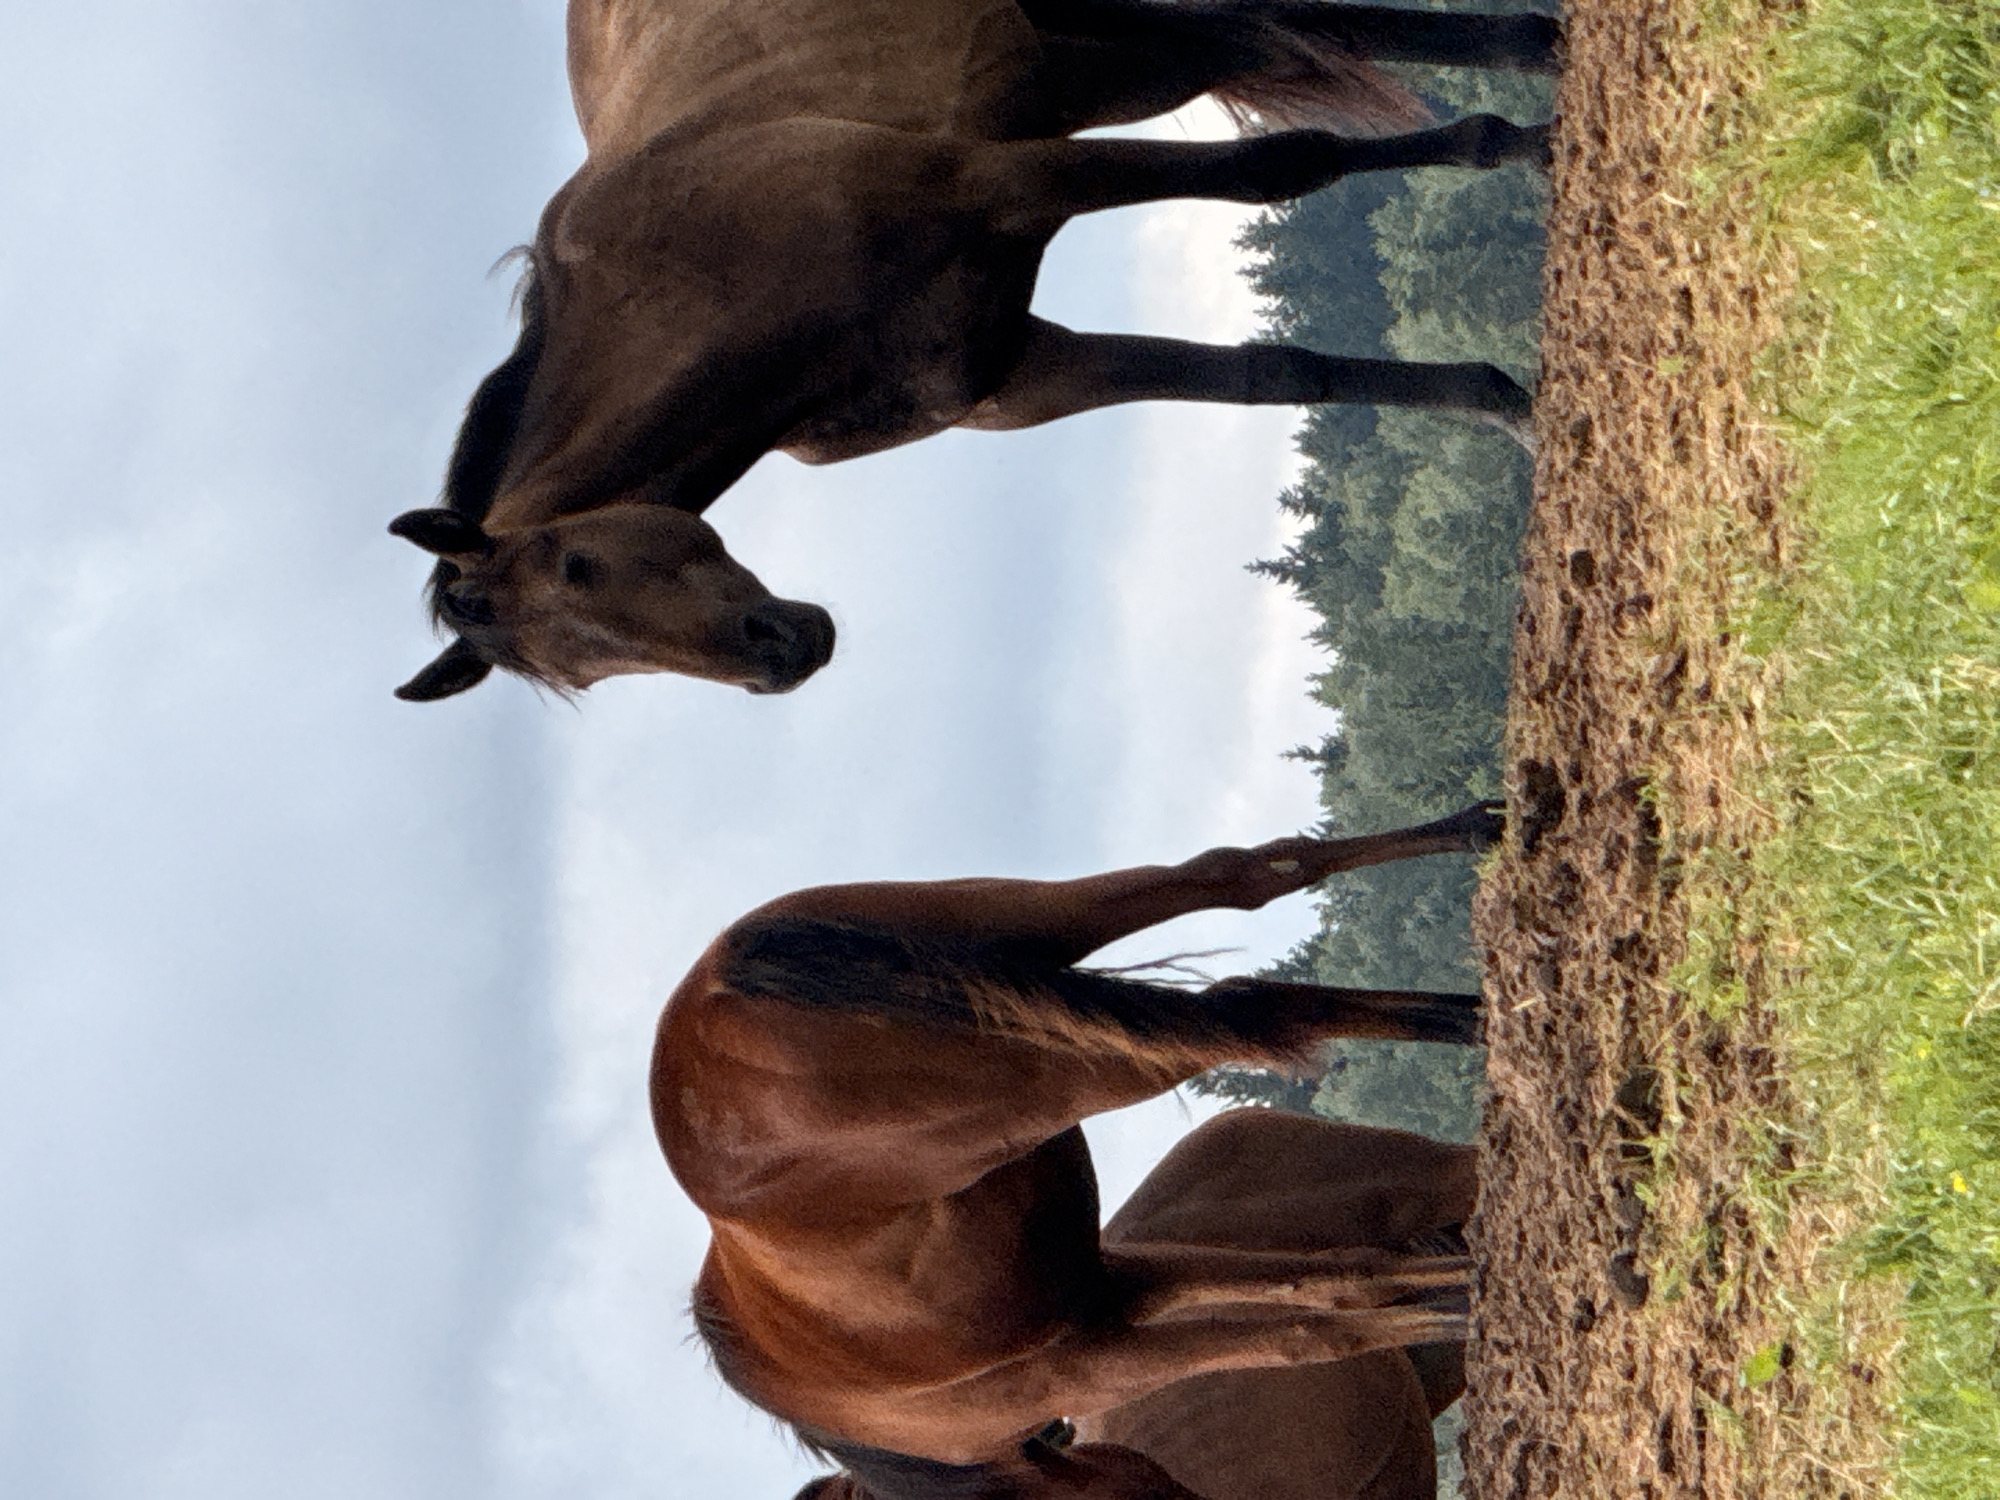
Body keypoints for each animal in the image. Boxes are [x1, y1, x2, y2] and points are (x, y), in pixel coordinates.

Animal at [388, 0, 1561, 701]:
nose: (781, 655)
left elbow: (1284, 165)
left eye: (578, 564)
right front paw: (1510, 406)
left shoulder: (1015, 179)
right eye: (582, 676)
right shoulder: (1019, 375)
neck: (709, 261)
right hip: (1099, 53)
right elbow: (1274, 375)